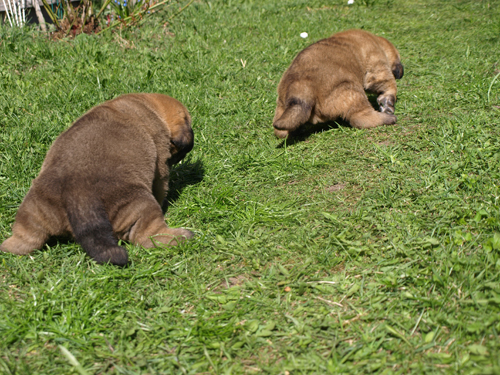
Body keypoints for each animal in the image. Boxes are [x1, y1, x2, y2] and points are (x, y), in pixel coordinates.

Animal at [0, 92, 194, 266]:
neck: (146, 104)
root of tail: (78, 195)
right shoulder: (160, 162)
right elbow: (161, 185)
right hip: (139, 204)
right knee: (147, 236)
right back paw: (182, 236)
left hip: (34, 211)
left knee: (25, 239)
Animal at [272, 29, 404, 138]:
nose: (401, 73)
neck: (376, 41)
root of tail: (300, 87)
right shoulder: (377, 65)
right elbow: (389, 84)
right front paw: (388, 104)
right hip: (351, 92)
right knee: (360, 118)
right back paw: (388, 118)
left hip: (281, 106)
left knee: (280, 131)